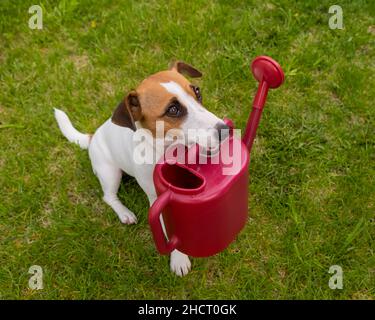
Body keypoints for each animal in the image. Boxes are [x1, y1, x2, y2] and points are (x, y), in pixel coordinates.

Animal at [53, 61, 229, 276]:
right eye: (173, 109)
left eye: (197, 91)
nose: (225, 130)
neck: (169, 148)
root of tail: (93, 136)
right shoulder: (158, 200)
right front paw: (179, 258)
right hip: (110, 173)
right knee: (108, 197)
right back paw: (124, 213)